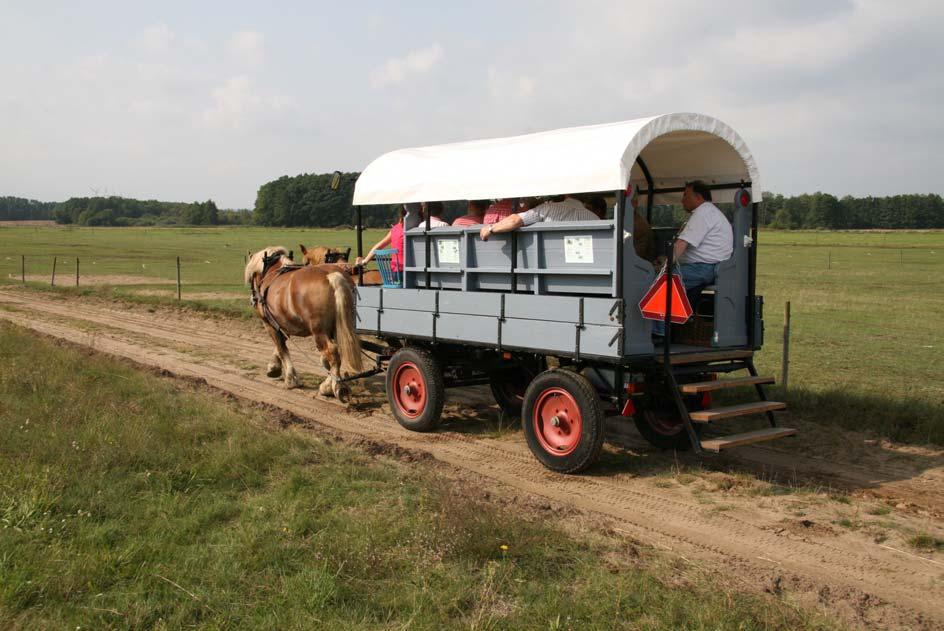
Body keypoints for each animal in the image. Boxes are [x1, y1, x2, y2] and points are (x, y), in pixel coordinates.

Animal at [243, 247, 362, 400]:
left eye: (252, 278)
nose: (253, 299)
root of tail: (332, 276)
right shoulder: (283, 322)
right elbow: (281, 346)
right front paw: (273, 367)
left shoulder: (269, 324)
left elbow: (281, 348)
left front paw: (290, 378)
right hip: (341, 327)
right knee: (337, 352)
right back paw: (330, 384)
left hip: (319, 331)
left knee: (332, 352)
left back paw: (336, 386)